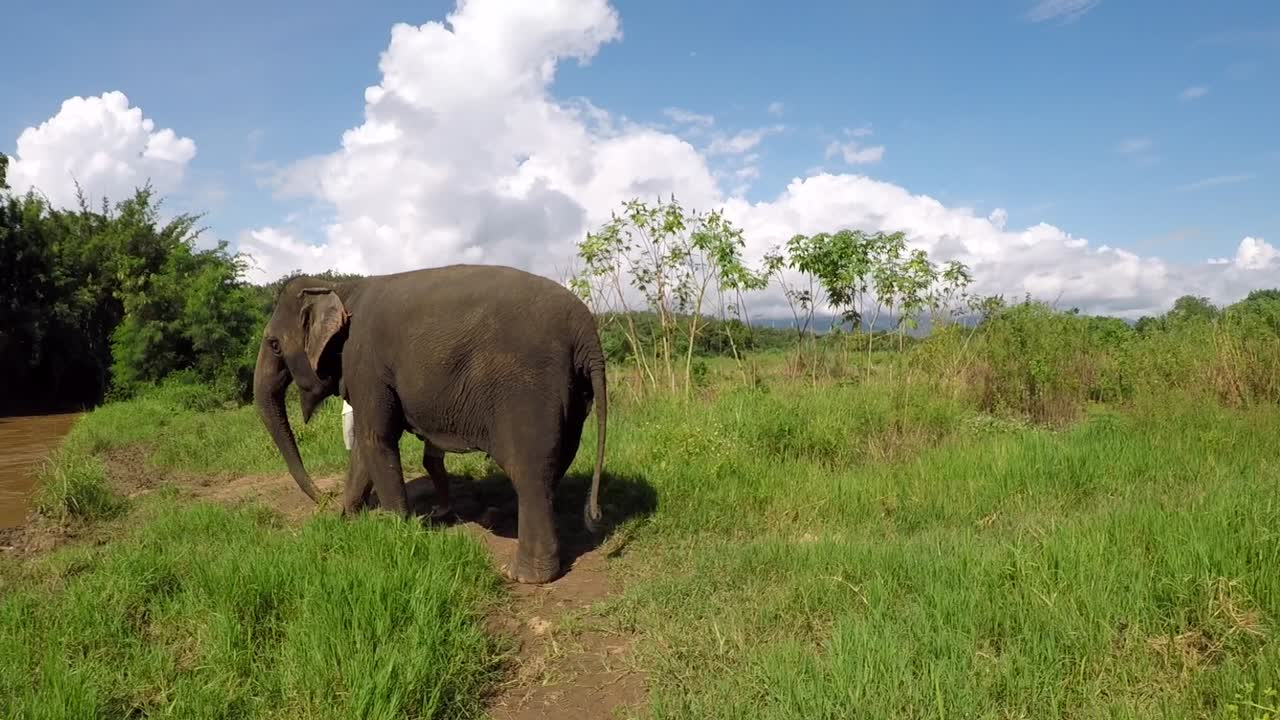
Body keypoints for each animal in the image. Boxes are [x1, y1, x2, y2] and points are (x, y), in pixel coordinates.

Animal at [252, 263, 608, 584]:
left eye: (274, 344)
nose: (322, 500)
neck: (339, 288)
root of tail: (586, 331)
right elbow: (365, 449)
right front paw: (346, 520)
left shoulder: (364, 362)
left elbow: (375, 438)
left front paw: (393, 531)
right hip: (573, 395)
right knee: (554, 466)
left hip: (528, 391)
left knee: (530, 472)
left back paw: (522, 575)